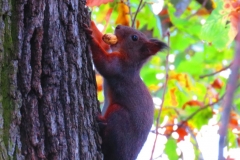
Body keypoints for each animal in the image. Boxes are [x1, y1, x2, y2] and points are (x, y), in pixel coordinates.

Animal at [83, 22, 168, 160]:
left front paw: (90, 38)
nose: (118, 26)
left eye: (134, 38)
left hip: (119, 116)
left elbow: (104, 64)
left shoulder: (120, 67)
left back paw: (101, 125)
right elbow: (103, 43)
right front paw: (91, 23)